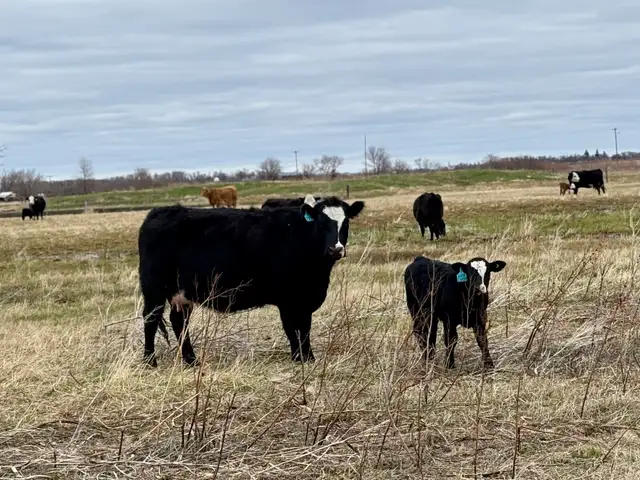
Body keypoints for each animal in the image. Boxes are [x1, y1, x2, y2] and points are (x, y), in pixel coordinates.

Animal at [138, 194, 366, 368]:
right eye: (321, 223)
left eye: (345, 222)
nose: (335, 249)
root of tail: (159, 212)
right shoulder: (289, 300)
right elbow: (296, 329)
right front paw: (304, 358)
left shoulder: (303, 299)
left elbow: (302, 329)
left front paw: (303, 357)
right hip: (154, 288)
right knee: (151, 319)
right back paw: (150, 361)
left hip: (181, 293)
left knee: (179, 321)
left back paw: (191, 361)